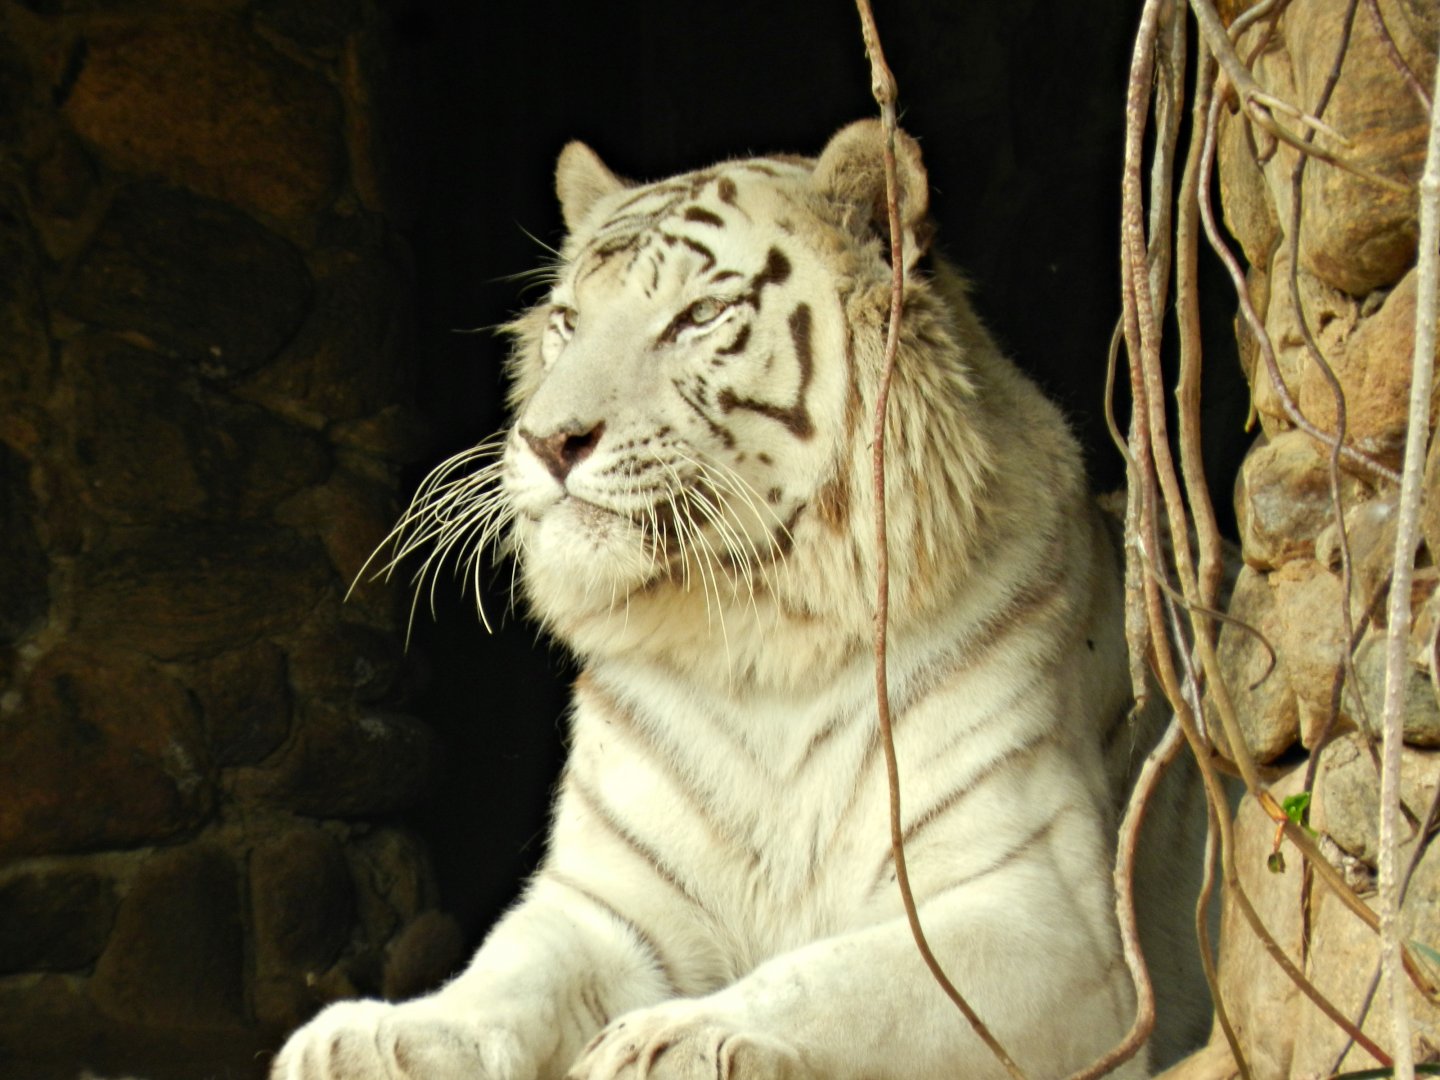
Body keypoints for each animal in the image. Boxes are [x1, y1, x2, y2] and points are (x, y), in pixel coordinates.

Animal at [270, 120, 1207, 1080]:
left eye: (699, 317)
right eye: (568, 323)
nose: (547, 440)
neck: (759, 642)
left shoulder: (1048, 916)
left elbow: (840, 982)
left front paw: (674, 1038)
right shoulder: (609, 901)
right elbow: (509, 975)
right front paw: (369, 1037)